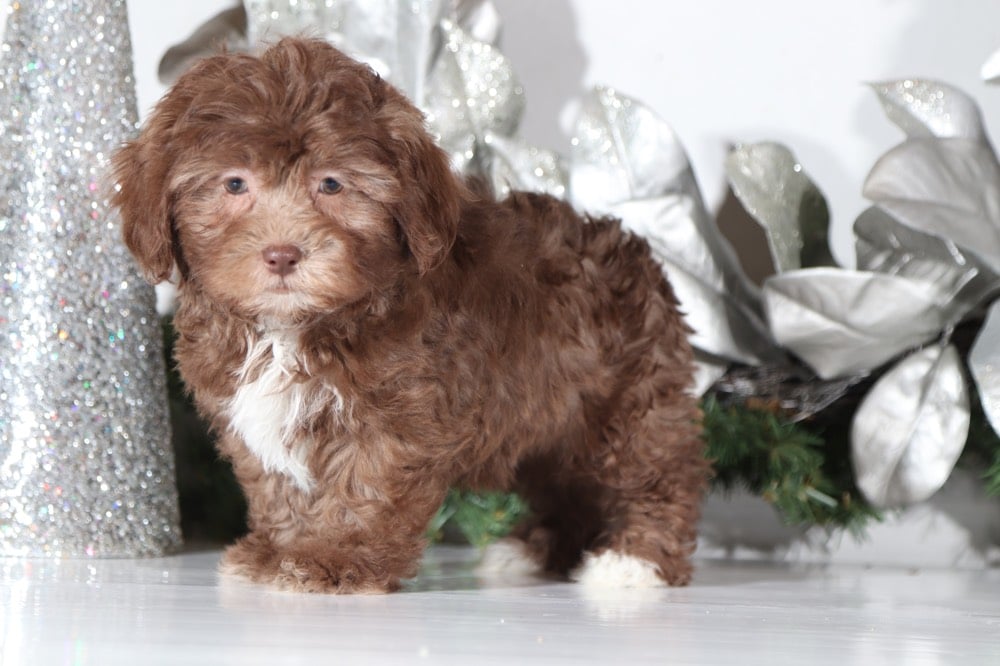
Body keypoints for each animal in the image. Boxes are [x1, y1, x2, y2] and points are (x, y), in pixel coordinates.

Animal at [113, 36, 708, 592]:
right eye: (234, 183)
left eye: (331, 183)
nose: (282, 254)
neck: (292, 327)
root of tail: (639, 254)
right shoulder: (252, 414)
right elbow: (278, 484)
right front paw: (278, 549)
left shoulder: (396, 414)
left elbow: (364, 486)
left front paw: (334, 560)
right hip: (549, 420)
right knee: (566, 487)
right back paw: (532, 551)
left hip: (628, 400)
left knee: (655, 472)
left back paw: (636, 560)